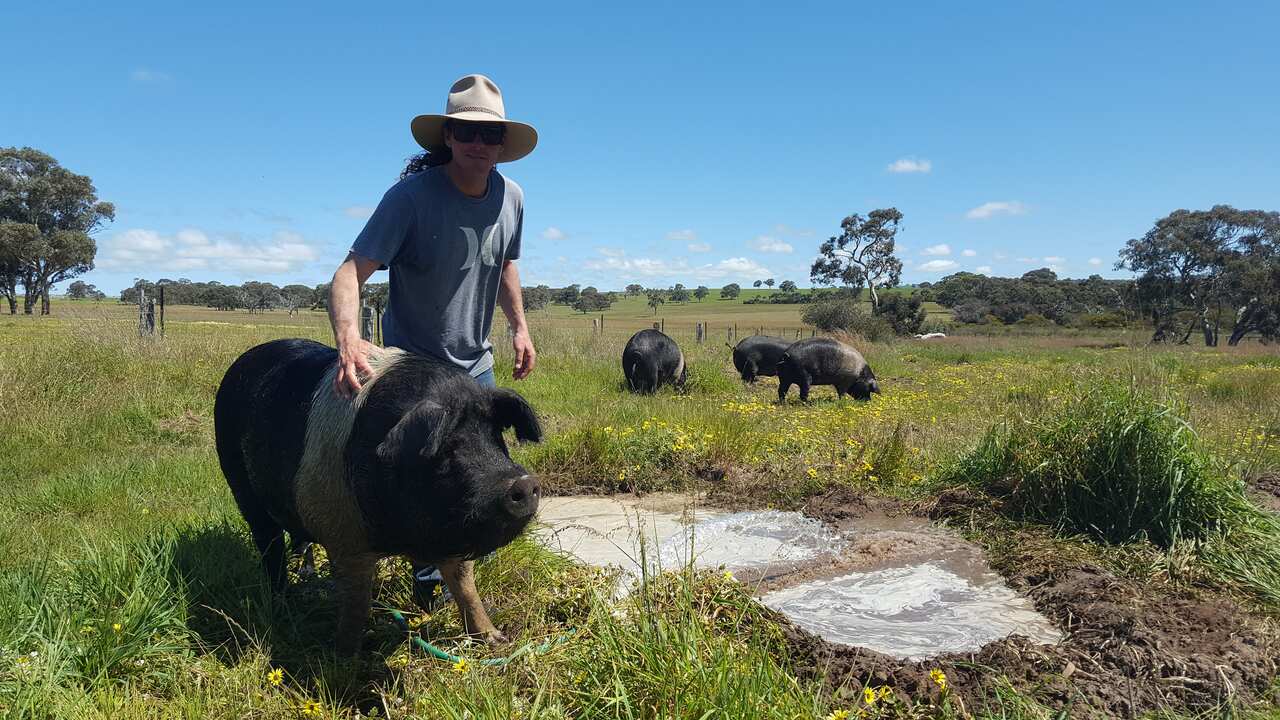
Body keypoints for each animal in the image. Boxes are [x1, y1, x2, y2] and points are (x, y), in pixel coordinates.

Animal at [213, 338, 542, 655]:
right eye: (448, 448)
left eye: (496, 437)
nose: (524, 482)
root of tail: (242, 361)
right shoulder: (344, 535)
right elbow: (356, 603)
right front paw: (345, 657)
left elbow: (466, 587)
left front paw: (496, 640)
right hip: (240, 484)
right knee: (269, 545)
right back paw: (282, 601)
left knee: (299, 541)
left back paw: (305, 576)